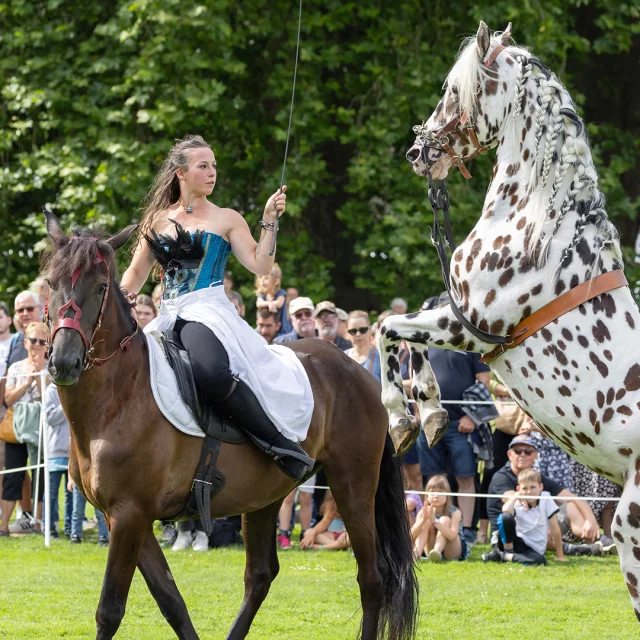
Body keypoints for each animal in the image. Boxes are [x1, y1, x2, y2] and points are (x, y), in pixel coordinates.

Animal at [41, 212, 419, 640]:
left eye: (102, 286)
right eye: (51, 283)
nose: (64, 362)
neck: (117, 398)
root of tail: (359, 372)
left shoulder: (129, 515)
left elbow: (110, 610)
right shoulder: (123, 517)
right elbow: (171, 600)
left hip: (352, 486)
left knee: (371, 577)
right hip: (266, 496)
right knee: (260, 576)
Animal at [377, 20, 640, 619]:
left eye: (452, 91)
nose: (416, 151)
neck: (540, 222)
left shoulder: (471, 328)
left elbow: (386, 329)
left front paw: (407, 415)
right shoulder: (456, 316)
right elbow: (399, 331)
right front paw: (428, 413)